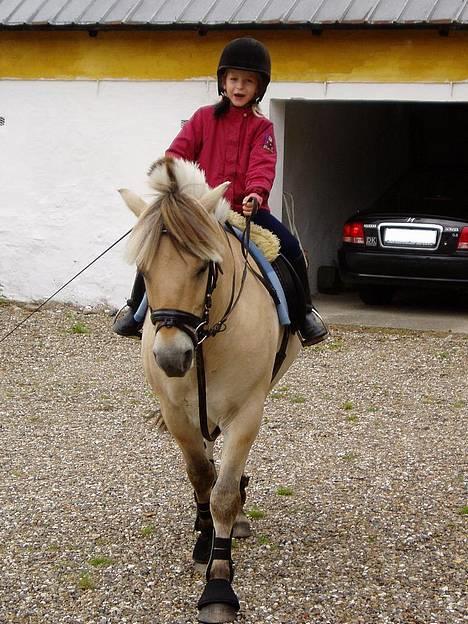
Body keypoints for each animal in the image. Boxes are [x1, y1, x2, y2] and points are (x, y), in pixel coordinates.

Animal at [119, 158, 300, 620]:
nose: (171, 358)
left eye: (204, 266)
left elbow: (222, 495)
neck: (205, 339)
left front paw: (219, 584)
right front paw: (204, 540)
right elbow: (201, 476)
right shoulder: (176, 413)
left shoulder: (246, 413)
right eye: (144, 271)